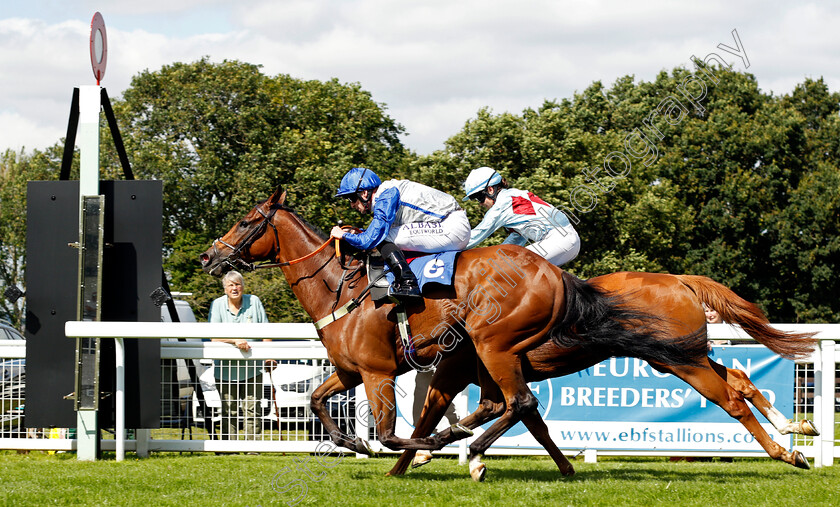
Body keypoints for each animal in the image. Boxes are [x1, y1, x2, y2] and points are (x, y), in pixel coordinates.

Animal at [200, 187, 704, 480]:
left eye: (246, 221)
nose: (208, 256)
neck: (338, 287)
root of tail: (555, 274)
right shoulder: (350, 370)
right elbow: (316, 401)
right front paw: (353, 442)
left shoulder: (379, 372)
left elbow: (391, 433)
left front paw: (419, 448)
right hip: (483, 355)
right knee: (509, 406)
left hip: (492, 344)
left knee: (519, 402)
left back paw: (469, 447)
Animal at [390, 272, 816, 478]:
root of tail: (680, 280)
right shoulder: (486, 376)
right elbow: (533, 423)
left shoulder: (467, 371)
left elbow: (435, 416)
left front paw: (407, 463)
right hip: (678, 356)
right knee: (739, 377)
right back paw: (795, 427)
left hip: (684, 363)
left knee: (731, 401)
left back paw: (786, 452)